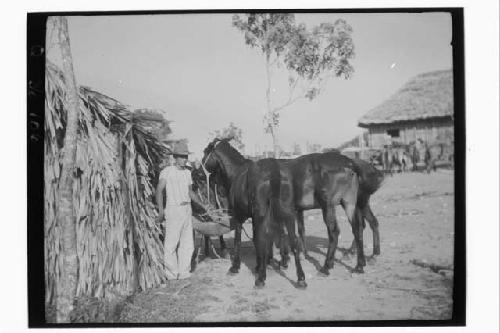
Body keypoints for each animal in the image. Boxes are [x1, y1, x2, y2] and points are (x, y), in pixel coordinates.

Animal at [201, 137, 366, 278]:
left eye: (204, 152)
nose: (198, 171)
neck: (241, 173)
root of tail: (349, 163)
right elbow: (274, 235)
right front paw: (277, 260)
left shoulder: (241, 215)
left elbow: (242, 239)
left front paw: (238, 267)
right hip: (349, 203)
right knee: (357, 228)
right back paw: (359, 265)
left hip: (328, 205)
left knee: (334, 232)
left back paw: (326, 267)